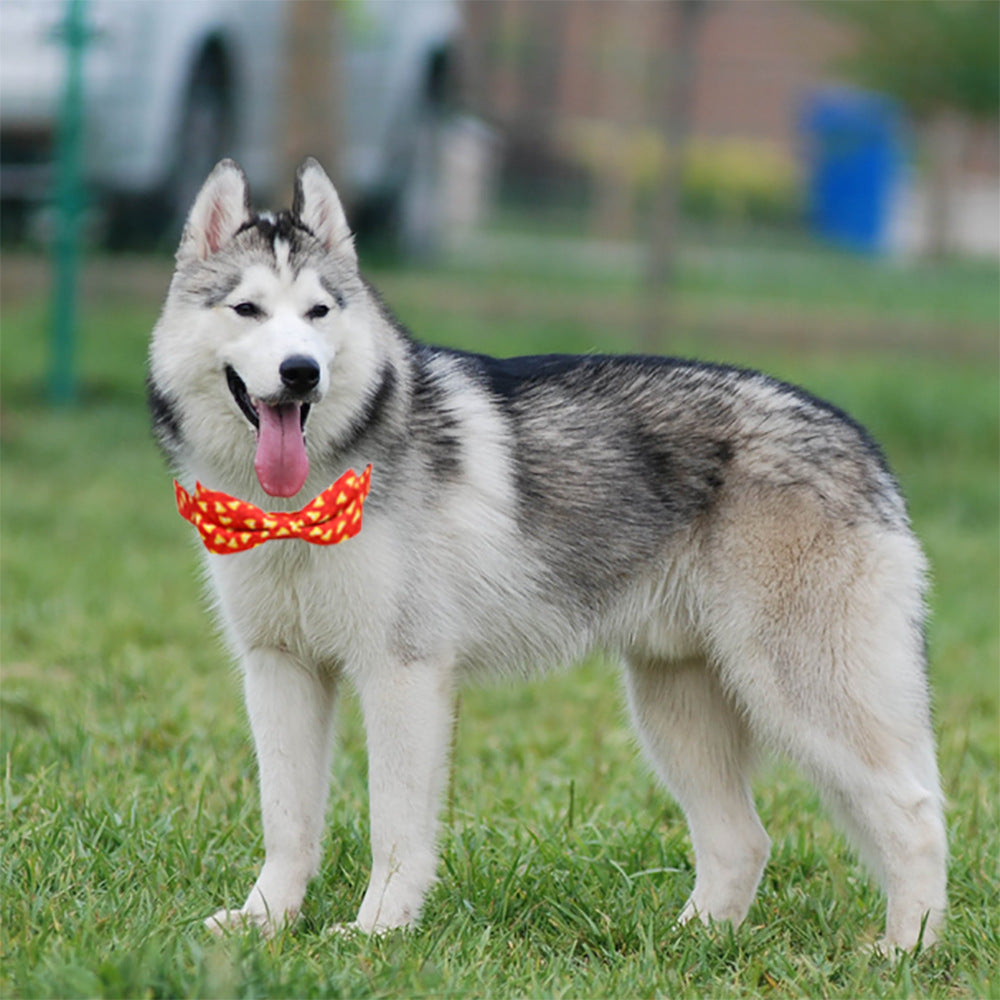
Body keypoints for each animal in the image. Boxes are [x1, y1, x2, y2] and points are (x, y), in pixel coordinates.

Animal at [146, 160, 944, 948]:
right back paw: (690, 943)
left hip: (800, 692)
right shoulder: (279, 669)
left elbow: (393, 829)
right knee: (742, 841)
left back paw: (903, 951)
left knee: (915, 814)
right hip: (674, 707)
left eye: (318, 313)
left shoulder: (402, 676)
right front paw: (265, 921)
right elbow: (287, 822)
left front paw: (378, 932)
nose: (301, 372)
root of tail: (861, 442)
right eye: (247, 310)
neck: (299, 505)